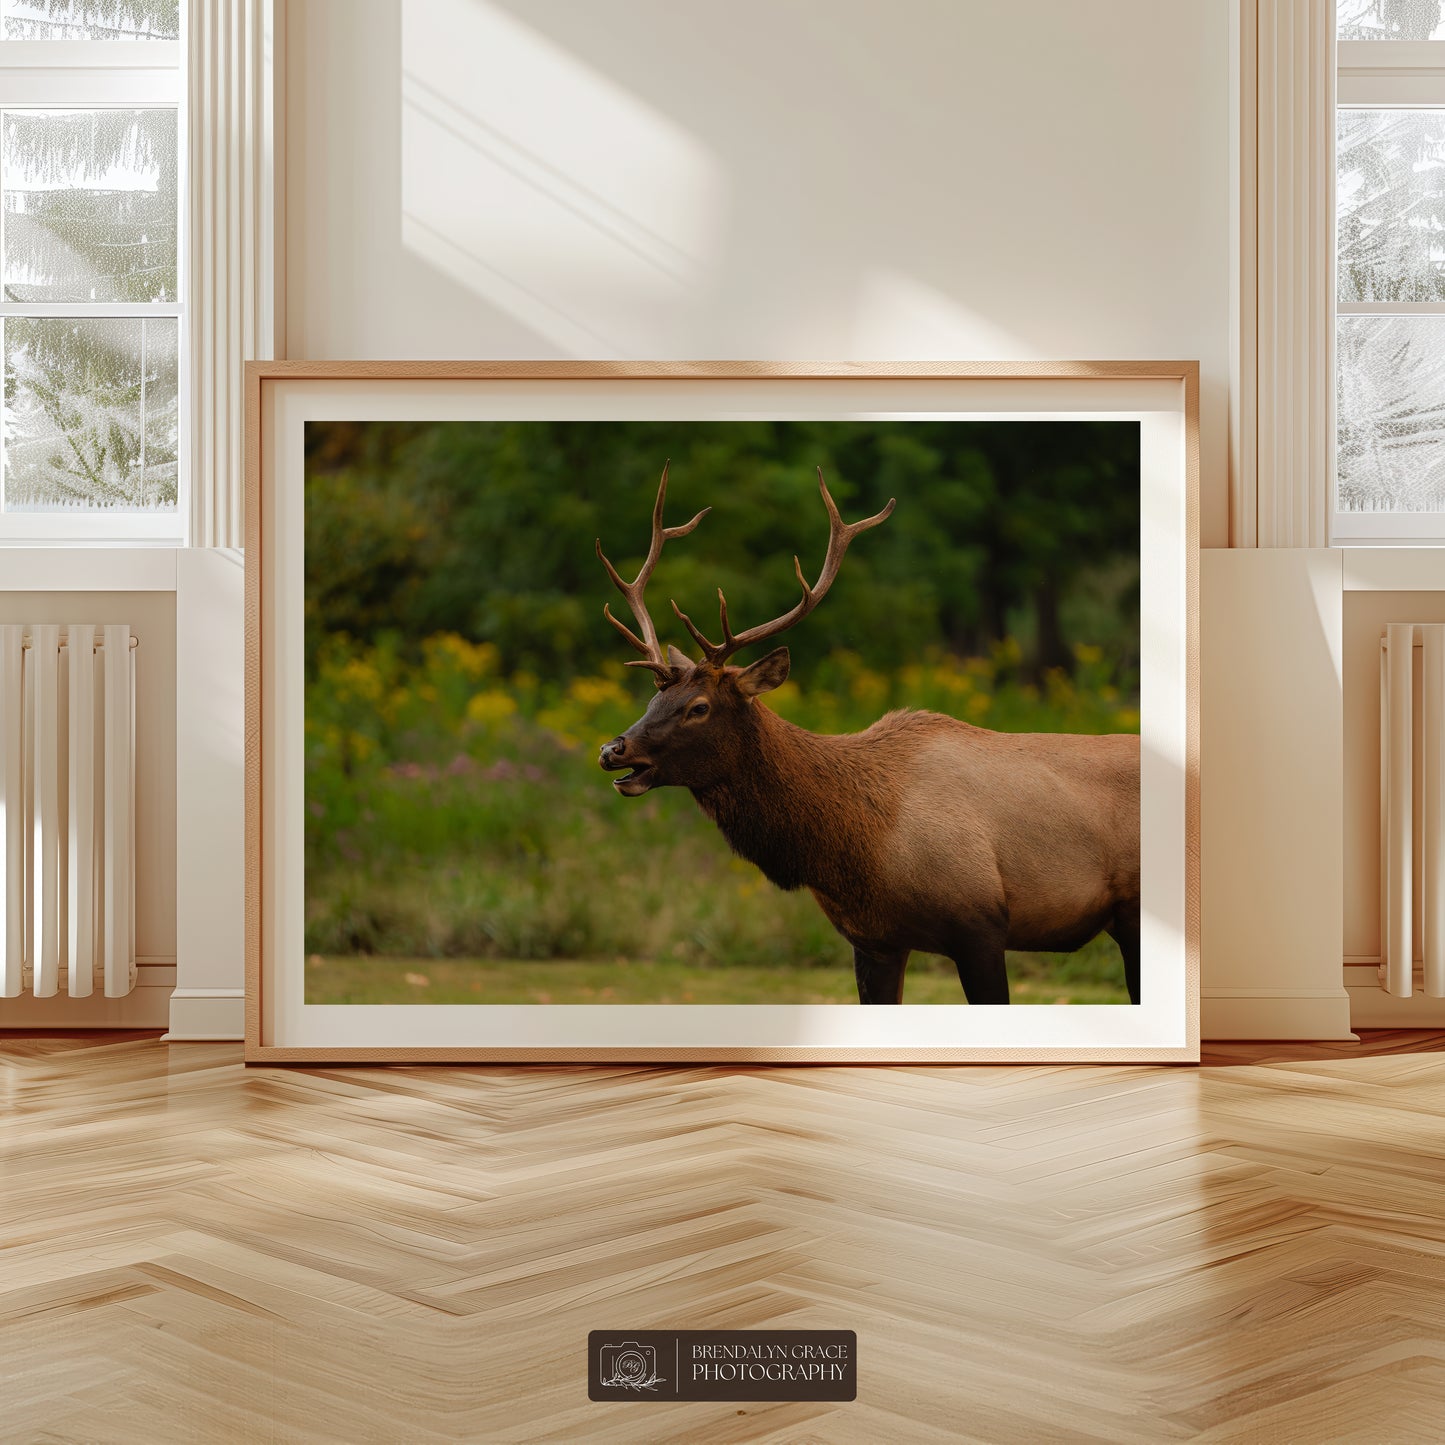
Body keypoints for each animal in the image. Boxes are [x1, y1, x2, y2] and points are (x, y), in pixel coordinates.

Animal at [595, 465, 1141, 1006]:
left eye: (698, 707)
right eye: (652, 701)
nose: (612, 748)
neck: (859, 850)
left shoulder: (982, 924)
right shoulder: (874, 939)